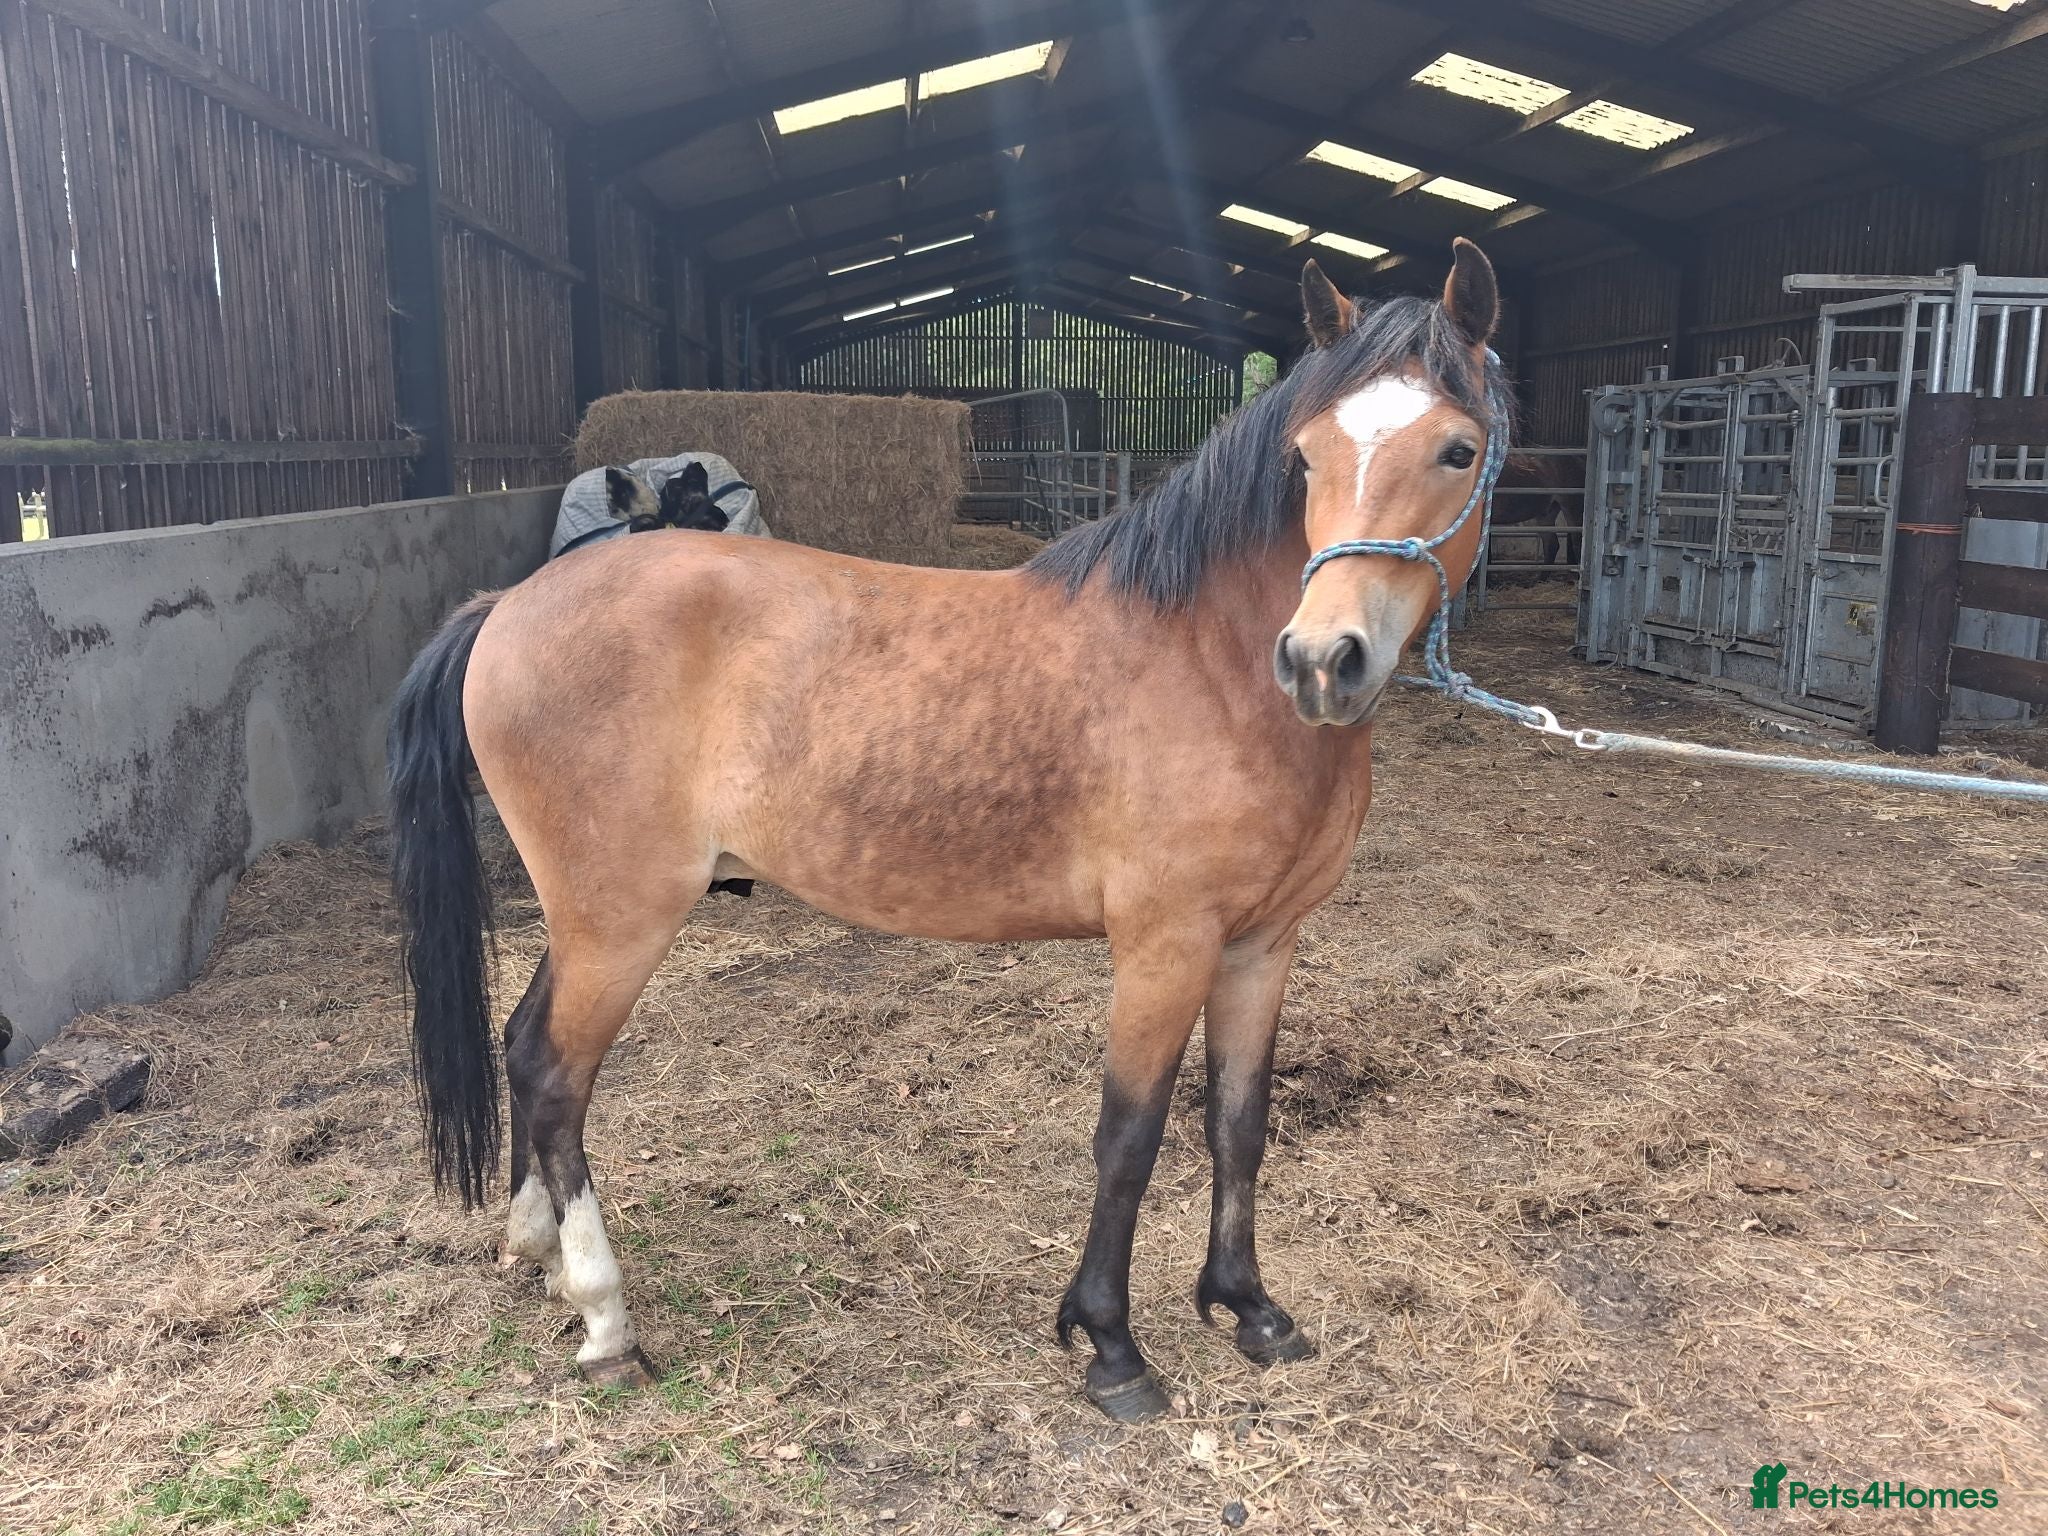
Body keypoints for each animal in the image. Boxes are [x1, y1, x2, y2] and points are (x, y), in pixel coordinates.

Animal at [387, 239, 1507, 1422]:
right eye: (1303, 458)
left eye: (1457, 447)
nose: (1321, 659)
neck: (1208, 660)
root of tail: (506, 607)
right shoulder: (1164, 947)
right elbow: (1129, 1137)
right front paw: (1109, 1345)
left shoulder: (1262, 944)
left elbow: (1236, 1123)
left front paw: (1248, 1309)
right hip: (620, 919)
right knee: (558, 1077)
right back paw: (606, 1321)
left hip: (587, 916)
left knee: (523, 1048)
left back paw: (535, 1251)